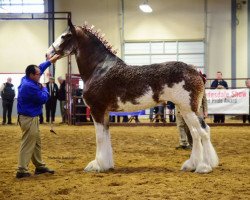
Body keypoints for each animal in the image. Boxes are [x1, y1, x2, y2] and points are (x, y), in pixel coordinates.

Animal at [46, 19, 219, 174]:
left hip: (188, 109)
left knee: (203, 132)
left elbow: (99, 138)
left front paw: (97, 165)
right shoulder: (105, 113)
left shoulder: (97, 110)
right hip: (185, 110)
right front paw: (107, 165)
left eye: (65, 36)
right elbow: (106, 136)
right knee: (196, 134)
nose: (48, 53)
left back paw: (204, 167)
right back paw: (192, 165)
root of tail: (195, 71)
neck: (99, 68)